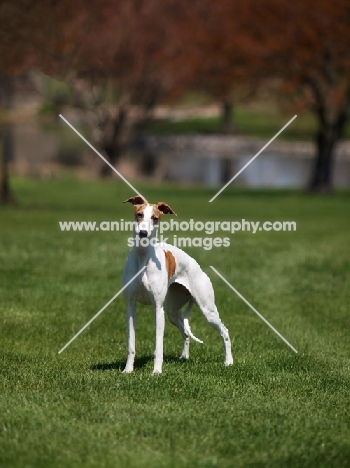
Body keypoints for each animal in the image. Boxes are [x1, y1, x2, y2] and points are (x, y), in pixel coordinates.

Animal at [121, 196, 234, 374]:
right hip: (172, 311)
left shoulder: (158, 308)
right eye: (139, 214)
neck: (143, 256)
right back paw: (184, 357)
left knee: (225, 331)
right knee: (186, 333)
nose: (143, 233)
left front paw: (156, 372)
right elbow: (131, 344)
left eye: (155, 218)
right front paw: (128, 370)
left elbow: (158, 345)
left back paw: (228, 361)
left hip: (207, 309)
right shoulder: (131, 306)